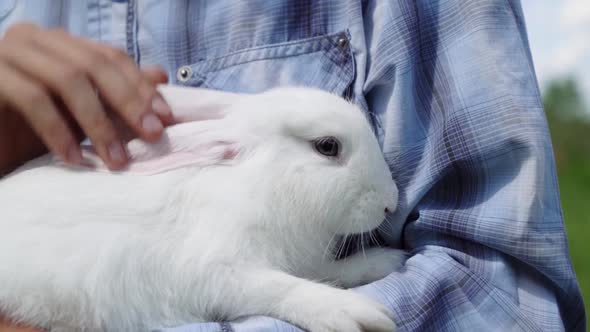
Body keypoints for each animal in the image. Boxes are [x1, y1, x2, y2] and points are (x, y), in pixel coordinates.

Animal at [0, 85, 408, 332]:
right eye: (327, 146)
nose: (391, 203)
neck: (261, 184)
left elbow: (326, 270)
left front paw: (383, 262)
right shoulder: (220, 272)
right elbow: (280, 287)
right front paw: (355, 315)